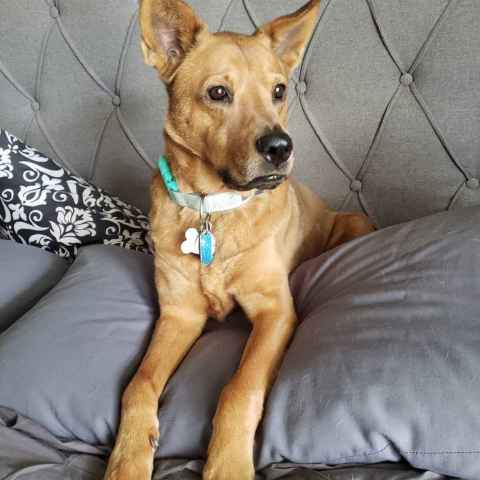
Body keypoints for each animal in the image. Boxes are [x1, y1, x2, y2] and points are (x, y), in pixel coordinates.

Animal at [104, 1, 375, 479]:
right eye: (218, 93)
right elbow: (139, 384)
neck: (212, 209)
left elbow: (239, 388)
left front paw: (227, 462)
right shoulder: (179, 315)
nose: (280, 147)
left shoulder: (275, 313)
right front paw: (128, 456)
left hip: (355, 225)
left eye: (279, 91)